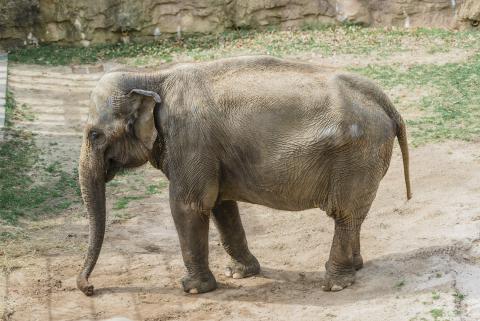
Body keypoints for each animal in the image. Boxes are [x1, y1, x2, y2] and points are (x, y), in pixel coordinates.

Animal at [77, 54, 410, 296]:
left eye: (94, 135)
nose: (90, 288)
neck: (152, 76)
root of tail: (384, 100)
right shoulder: (211, 154)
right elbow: (221, 205)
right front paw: (239, 274)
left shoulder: (191, 141)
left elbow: (189, 205)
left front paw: (193, 289)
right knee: (353, 216)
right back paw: (356, 268)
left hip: (357, 155)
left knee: (345, 213)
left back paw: (335, 284)